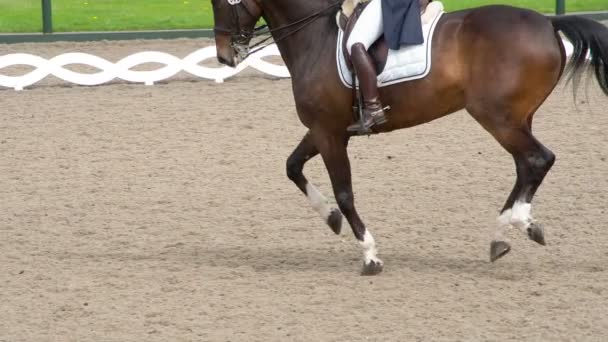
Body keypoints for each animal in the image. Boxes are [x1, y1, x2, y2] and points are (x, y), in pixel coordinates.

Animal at [210, 0, 608, 276]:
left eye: (220, 2)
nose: (225, 57)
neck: (315, 38)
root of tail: (547, 22)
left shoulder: (328, 133)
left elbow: (345, 193)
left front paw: (370, 255)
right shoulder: (326, 130)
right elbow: (293, 167)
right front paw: (331, 219)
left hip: (498, 118)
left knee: (537, 159)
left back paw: (520, 224)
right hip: (517, 118)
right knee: (526, 166)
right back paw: (501, 236)